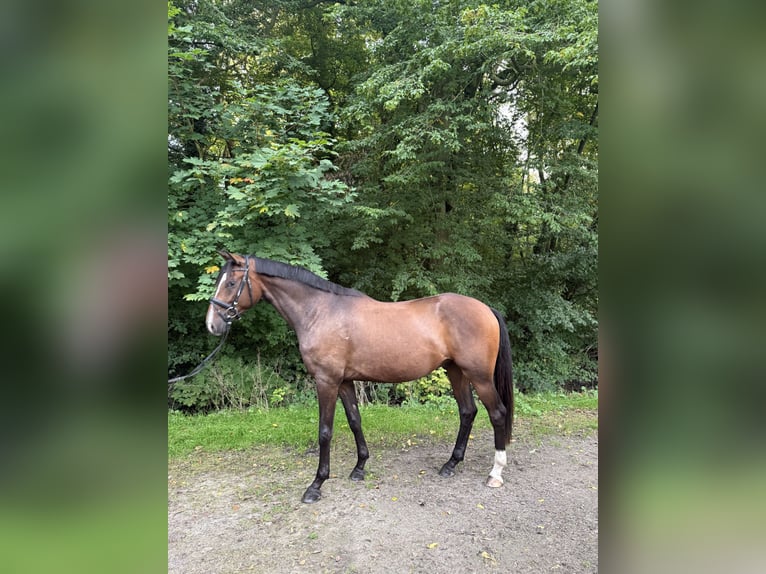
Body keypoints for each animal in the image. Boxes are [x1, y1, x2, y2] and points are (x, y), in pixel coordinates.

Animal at [205, 250, 514, 503]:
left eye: (231, 283)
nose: (212, 325)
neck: (320, 311)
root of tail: (486, 309)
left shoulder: (326, 381)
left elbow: (325, 431)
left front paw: (316, 485)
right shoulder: (344, 381)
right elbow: (355, 421)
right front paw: (359, 467)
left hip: (479, 376)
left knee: (497, 413)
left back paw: (495, 473)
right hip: (455, 371)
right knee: (467, 412)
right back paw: (451, 464)